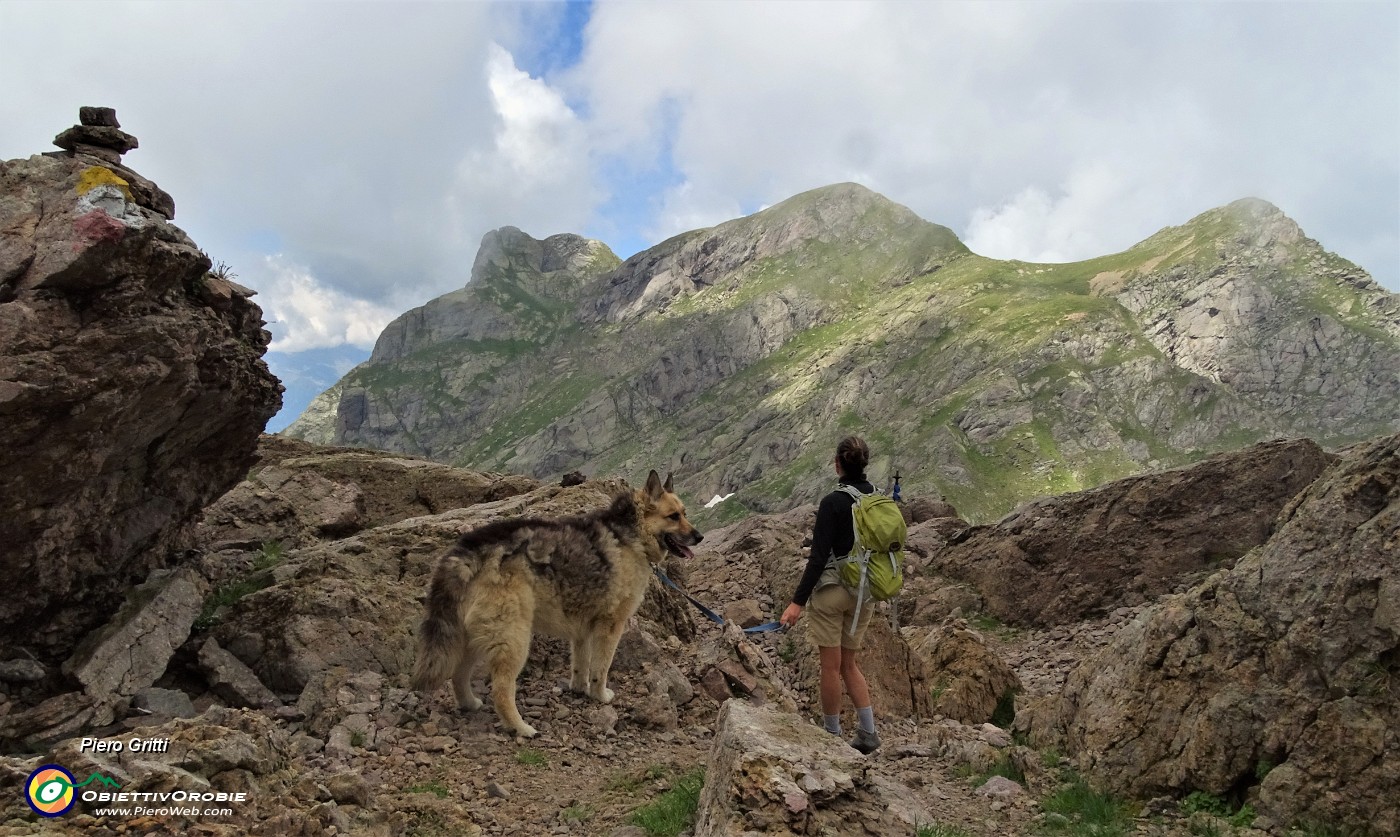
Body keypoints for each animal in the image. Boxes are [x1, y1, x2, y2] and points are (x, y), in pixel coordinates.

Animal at [411, 473, 700, 739]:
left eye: (685, 513)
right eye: (673, 516)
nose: (699, 536)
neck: (630, 534)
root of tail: (467, 551)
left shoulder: (583, 629)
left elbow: (581, 663)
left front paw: (580, 689)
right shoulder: (610, 625)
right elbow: (601, 667)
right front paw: (600, 695)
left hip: (472, 636)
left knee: (458, 676)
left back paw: (470, 704)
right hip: (513, 638)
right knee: (501, 690)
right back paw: (521, 728)